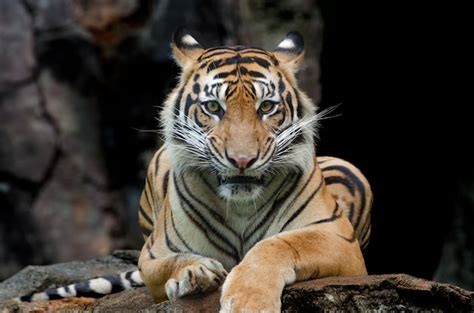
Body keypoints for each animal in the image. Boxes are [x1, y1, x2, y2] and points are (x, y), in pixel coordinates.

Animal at [17, 27, 374, 312]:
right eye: (213, 107)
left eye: (267, 107)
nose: (242, 160)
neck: (241, 206)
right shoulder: (153, 253)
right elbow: (172, 262)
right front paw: (194, 273)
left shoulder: (339, 240)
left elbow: (277, 245)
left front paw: (248, 301)